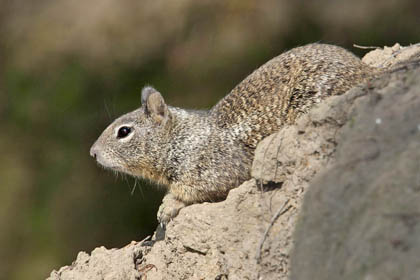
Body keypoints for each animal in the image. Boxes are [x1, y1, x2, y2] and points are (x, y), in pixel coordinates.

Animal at [90, 43, 376, 223]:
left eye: (124, 131)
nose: (92, 153)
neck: (179, 139)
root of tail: (367, 71)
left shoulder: (214, 170)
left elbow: (196, 192)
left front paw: (169, 205)